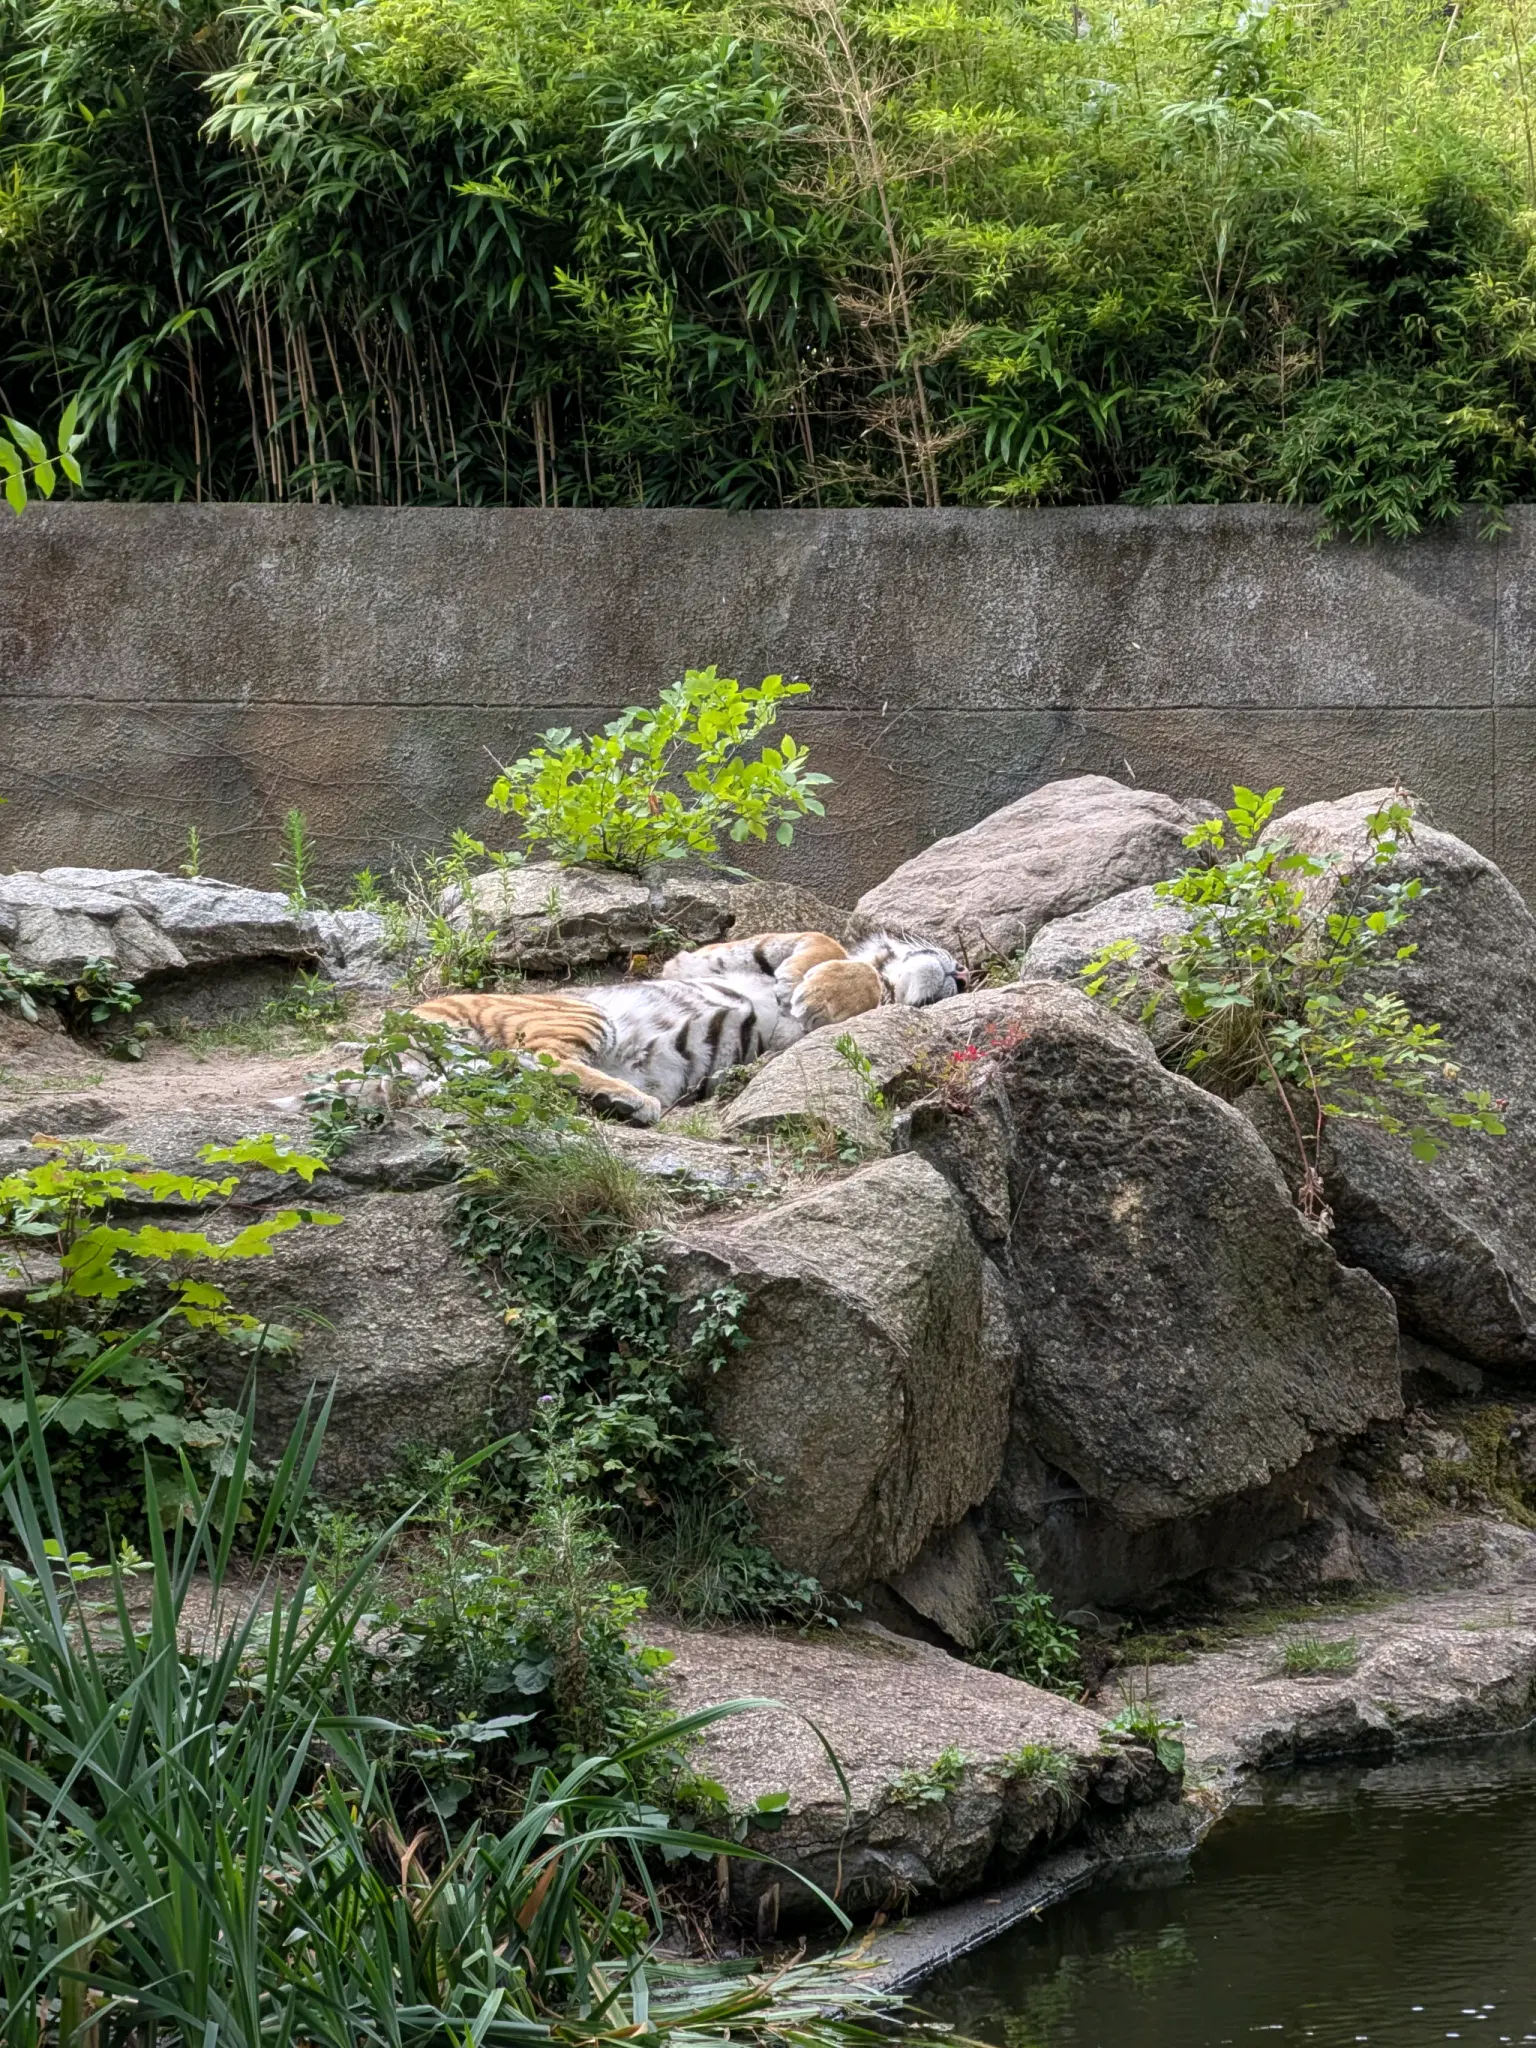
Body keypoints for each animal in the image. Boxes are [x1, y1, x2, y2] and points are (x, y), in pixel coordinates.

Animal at [401, 927, 966, 1125]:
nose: (961, 973)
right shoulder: (692, 960)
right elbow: (822, 940)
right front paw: (807, 984)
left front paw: (818, 993)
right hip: (583, 1013)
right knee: (539, 1057)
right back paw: (631, 1101)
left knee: (526, 1068)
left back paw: (624, 1102)